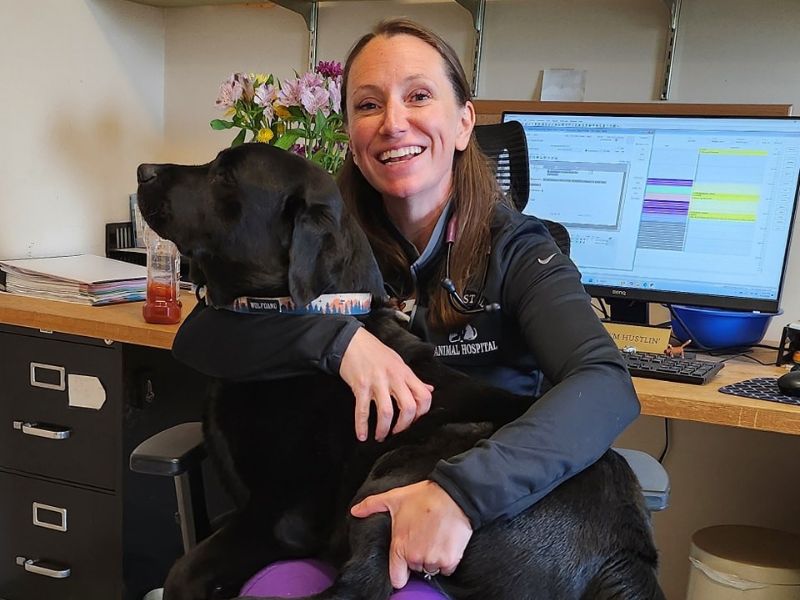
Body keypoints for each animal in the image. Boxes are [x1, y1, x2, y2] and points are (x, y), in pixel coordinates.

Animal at [136, 143, 664, 596]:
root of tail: (627, 553)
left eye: (224, 175)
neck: (298, 310)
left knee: (362, 585)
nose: (143, 169)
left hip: (402, 477)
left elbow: (184, 571)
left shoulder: (283, 515)